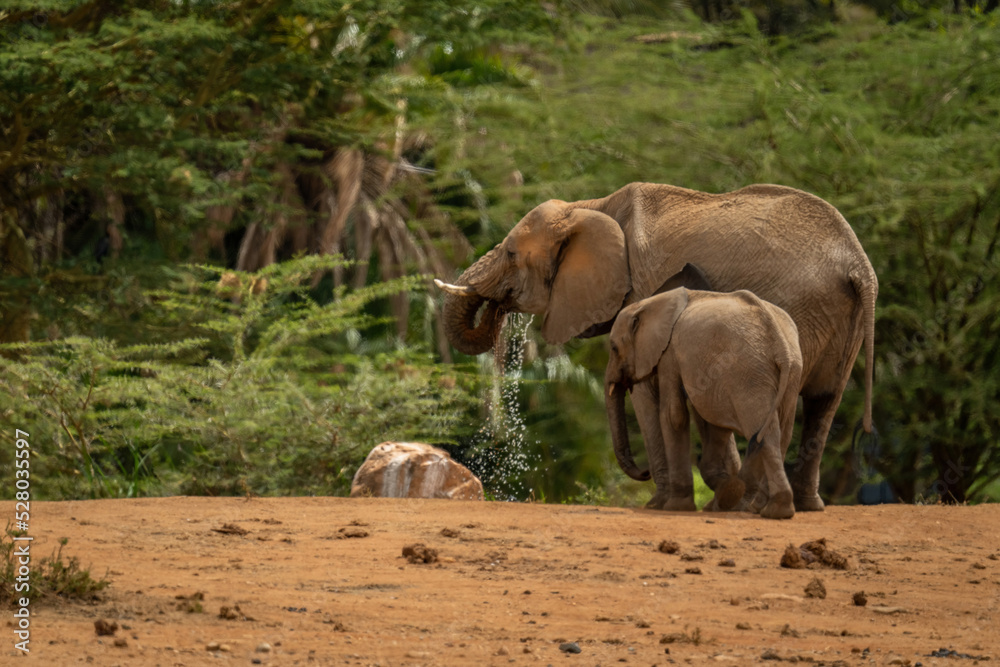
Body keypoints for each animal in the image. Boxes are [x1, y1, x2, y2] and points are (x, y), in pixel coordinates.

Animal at [604, 288, 803, 519]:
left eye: (614, 347)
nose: (645, 473)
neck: (652, 303)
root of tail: (782, 347)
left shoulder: (669, 353)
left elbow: (674, 414)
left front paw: (677, 507)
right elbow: (714, 422)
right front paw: (726, 490)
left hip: (750, 378)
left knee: (765, 434)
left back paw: (769, 510)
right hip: (789, 376)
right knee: (781, 435)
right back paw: (760, 507)